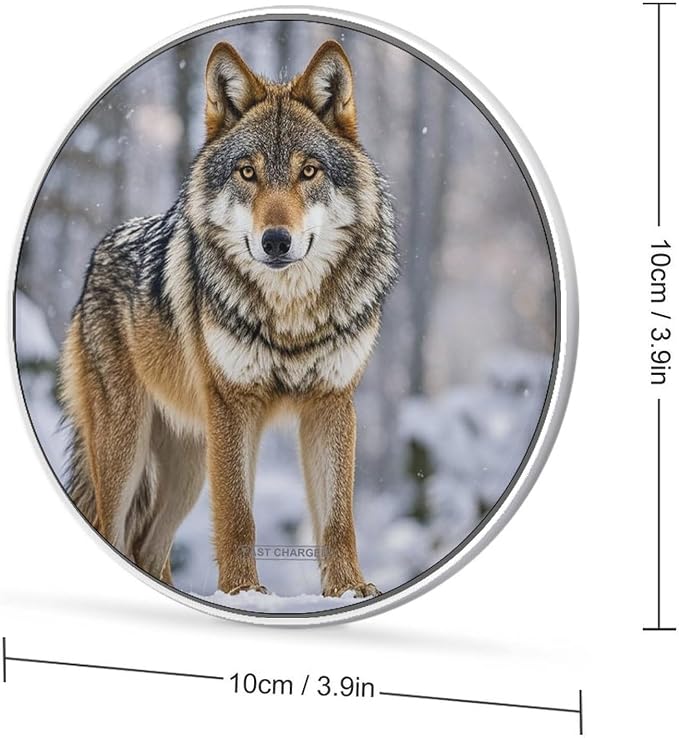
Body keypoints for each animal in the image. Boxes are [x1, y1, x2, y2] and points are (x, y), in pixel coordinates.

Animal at [58, 39, 398, 599]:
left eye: (309, 172)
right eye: (247, 172)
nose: (276, 241)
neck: (290, 317)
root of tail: (95, 259)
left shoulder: (331, 403)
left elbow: (337, 519)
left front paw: (349, 591)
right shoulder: (234, 406)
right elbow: (238, 516)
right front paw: (244, 595)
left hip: (190, 463)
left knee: (149, 548)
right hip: (130, 449)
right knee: (118, 532)